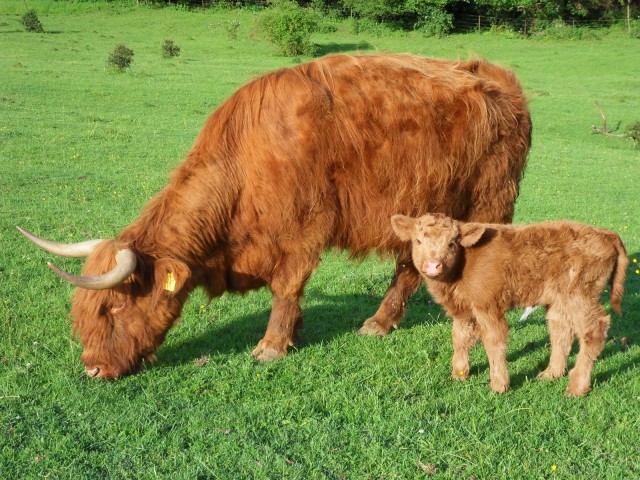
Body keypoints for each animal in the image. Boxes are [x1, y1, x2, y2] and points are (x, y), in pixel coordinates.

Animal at [18, 53, 528, 378]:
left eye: (118, 306)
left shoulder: (303, 230)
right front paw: (296, 331)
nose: (93, 369)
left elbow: (286, 288)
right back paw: (380, 323)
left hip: (490, 199)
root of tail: (495, 74)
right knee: (409, 265)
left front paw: (272, 345)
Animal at [392, 214, 628, 398]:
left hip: (581, 297)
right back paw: (551, 373)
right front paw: (459, 374)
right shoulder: (463, 310)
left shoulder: (488, 307)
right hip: (559, 300)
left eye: (451, 243)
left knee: (593, 331)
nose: (433, 265)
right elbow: (460, 338)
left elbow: (493, 342)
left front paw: (499, 384)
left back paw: (577, 387)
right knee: (560, 331)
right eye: (418, 241)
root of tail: (606, 233)